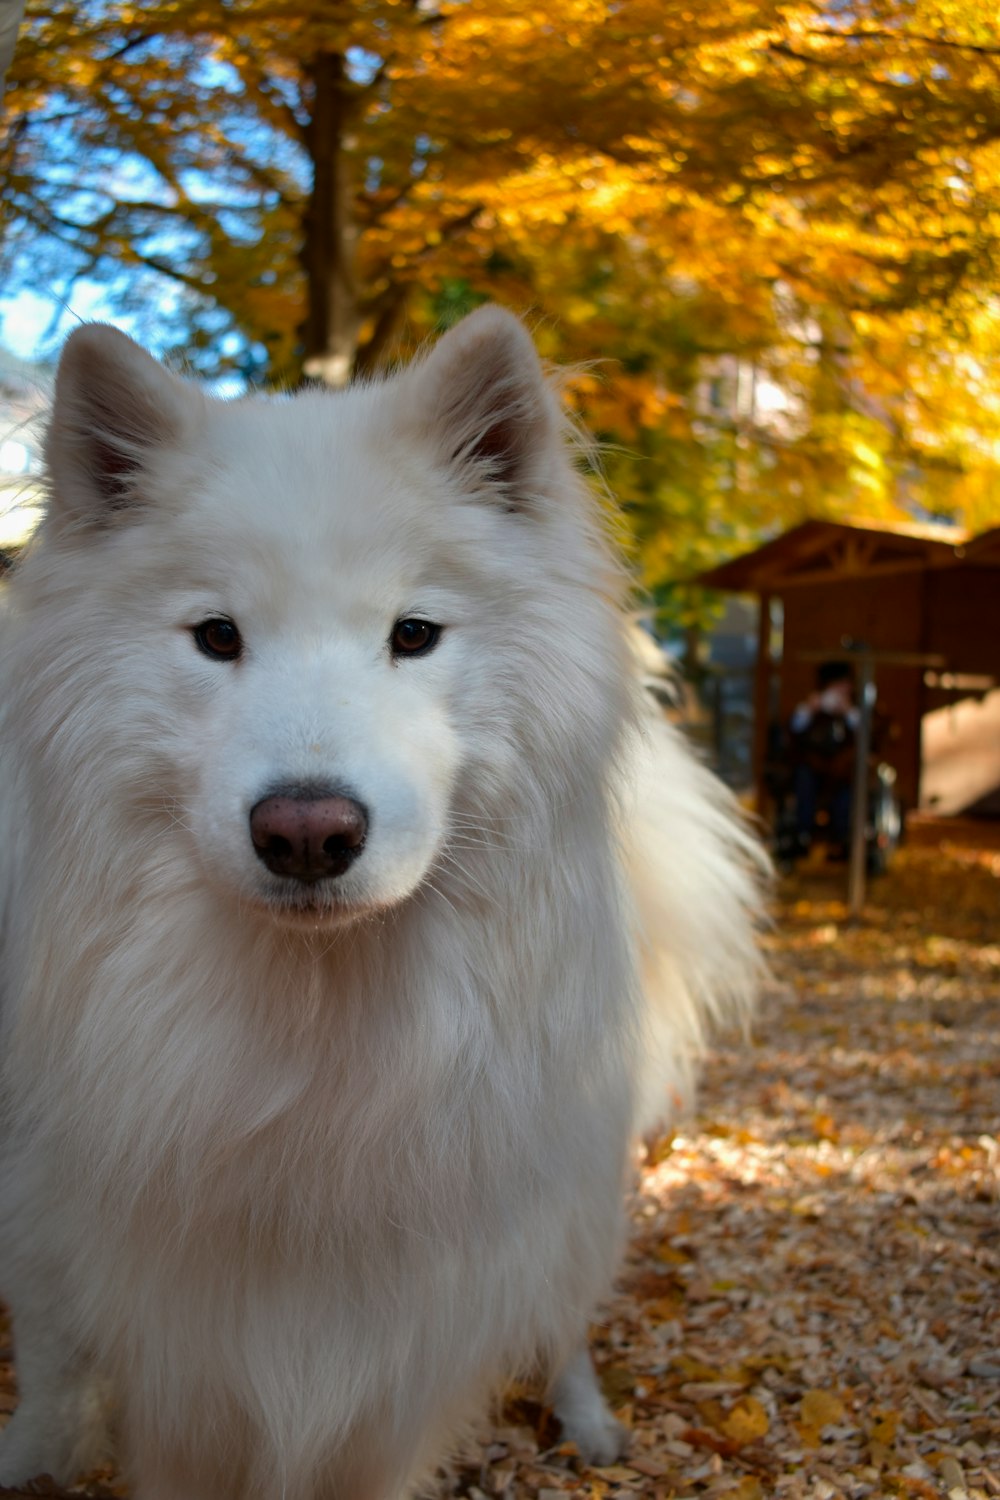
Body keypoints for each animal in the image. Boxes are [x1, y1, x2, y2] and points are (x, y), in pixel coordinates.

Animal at [0, 307, 767, 1500]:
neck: (317, 1049)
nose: (307, 831)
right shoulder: (161, 1324)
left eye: (413, 633)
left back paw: (587, 1420)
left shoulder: (403, 1343)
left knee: (565, 1314)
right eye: (217, 636)